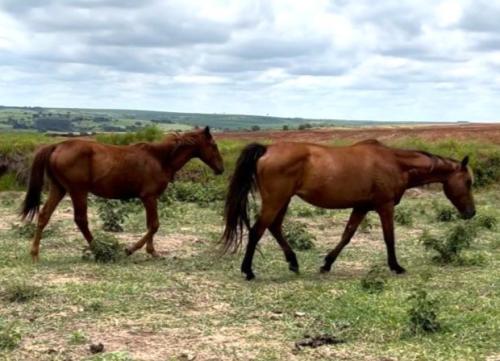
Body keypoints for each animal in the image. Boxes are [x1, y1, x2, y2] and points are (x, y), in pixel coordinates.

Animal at [22, 126, 223, 258]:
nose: (221, 168)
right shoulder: (149, 197)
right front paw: (133, 249)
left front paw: (152, 251)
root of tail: (57, 146)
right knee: (80, 220)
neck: (160, 159)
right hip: (78, 191)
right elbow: (154, 225)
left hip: (59, 189)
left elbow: (150, 225)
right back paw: (100, 249)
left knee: (44, 215)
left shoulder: (150, 199)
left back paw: (34, 253)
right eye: (213, 145)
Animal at [223, 139, 476, 280]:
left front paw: (327, 263)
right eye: (468, 182)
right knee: (257, 231)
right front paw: (396, 266)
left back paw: (293, 263)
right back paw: (248, 271)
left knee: (274, 227)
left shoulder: (361, 207)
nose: (471, 213)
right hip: (275, 200)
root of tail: (267, 149)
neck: (396, 163)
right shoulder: (384, 206)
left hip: (283, 201)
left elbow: (347, 235)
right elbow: (389, 237)